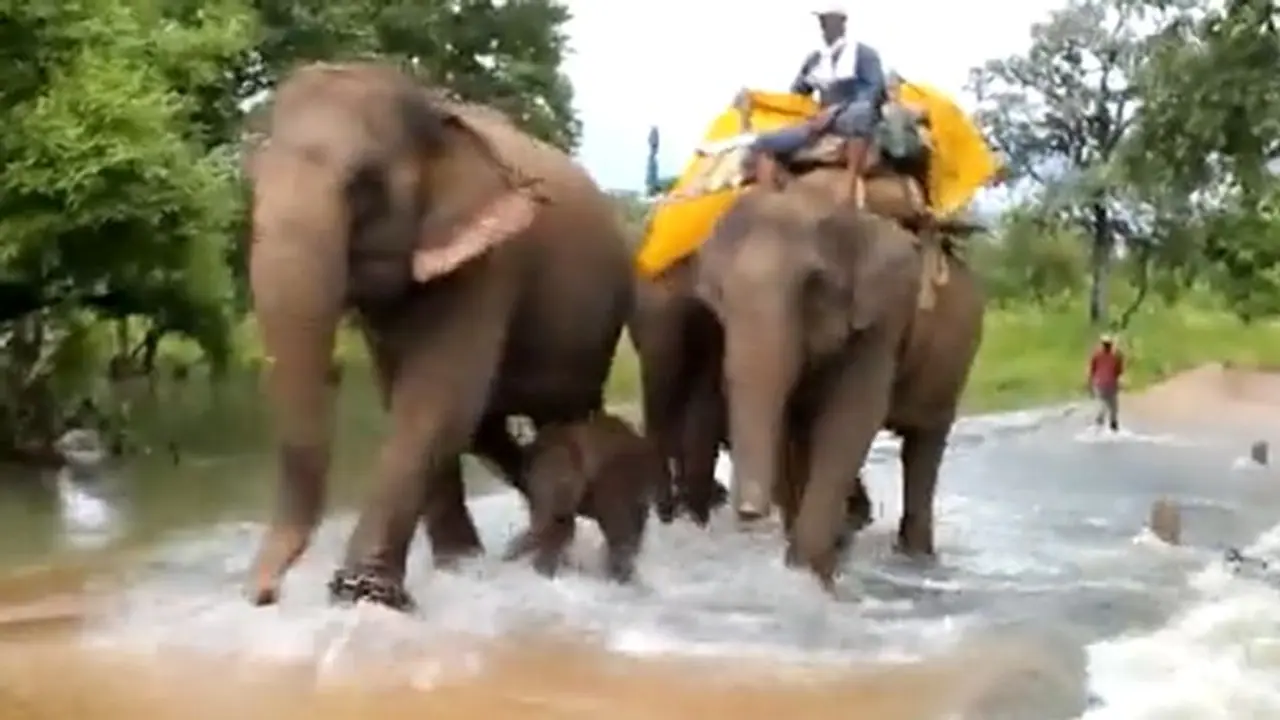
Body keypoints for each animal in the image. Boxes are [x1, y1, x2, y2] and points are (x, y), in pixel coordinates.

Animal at [246, 61, 633, 610]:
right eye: (252, 181)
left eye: (364, 185)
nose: (263, 594)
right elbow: (414, 401)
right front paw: (458, 569)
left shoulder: (490, 261)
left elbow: (436, 400)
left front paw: (363, 593)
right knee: (490, 430)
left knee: (562, 417)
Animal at [693, 167, 984, 589]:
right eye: (719, 295)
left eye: (813, 284)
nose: (747, 512)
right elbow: (793, 426)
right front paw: (808, 568)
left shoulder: (884, 314)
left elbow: (852, 417)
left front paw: (815, 578)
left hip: (955, 358)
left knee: (924, 443)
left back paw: (915, 558)